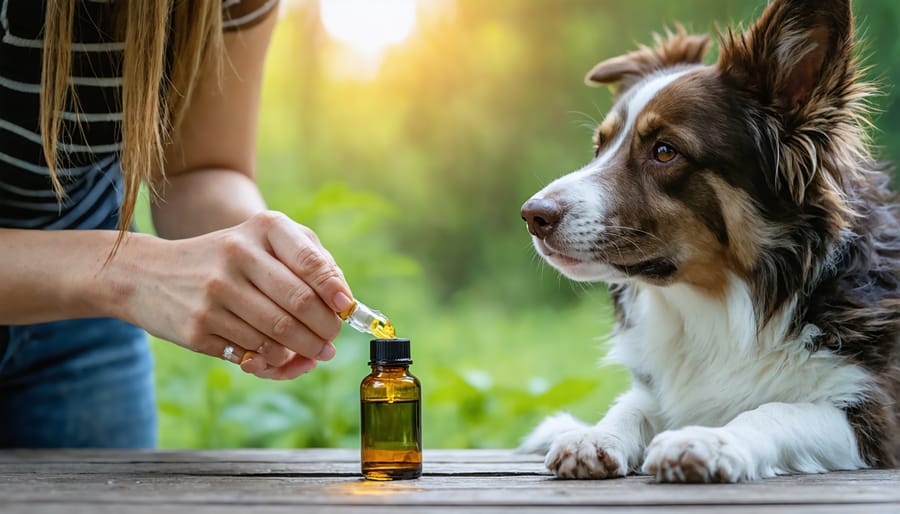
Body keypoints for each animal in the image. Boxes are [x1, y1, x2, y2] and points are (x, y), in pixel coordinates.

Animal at [520, 0, 900, 480]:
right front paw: (597, 436)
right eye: (599, 147)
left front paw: (709, 439)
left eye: (665, 151)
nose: (532, 215)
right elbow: (632, 404)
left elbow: (775, 411)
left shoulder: (876, 416)